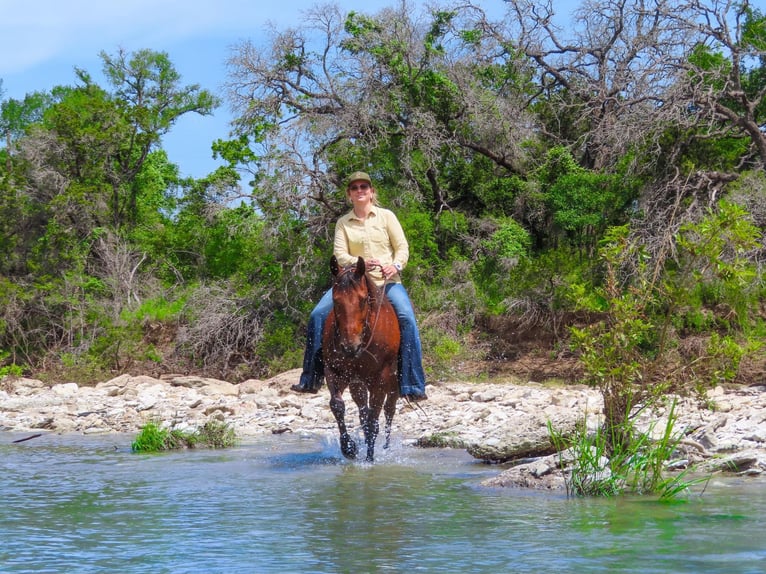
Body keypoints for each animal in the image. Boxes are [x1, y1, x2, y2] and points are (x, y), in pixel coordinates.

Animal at [324, 256, 404, 464]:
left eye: (362, 300)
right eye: (335, 300)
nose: (350, 347)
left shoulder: (381, 379)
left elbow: (374, 419)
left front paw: (369, 459)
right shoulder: (333, 371)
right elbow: (337, 406)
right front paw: (349, 448)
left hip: (393, 384)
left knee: (389, 410)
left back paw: (386, 447)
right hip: (357, 384)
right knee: (363, 411)